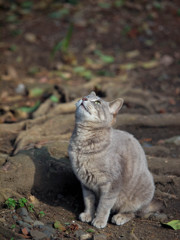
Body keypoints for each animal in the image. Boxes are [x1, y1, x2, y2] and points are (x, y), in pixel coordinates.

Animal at [68, 91, 155, 229]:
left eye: (98, 102)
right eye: (86, 95)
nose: (84, 98)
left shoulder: (112, 184)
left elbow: (104, 205)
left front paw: (99, 220)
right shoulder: (86, 184)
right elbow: (88, 201)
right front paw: (88, 214)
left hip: (140, 194)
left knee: (133, 213)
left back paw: (120, 217)